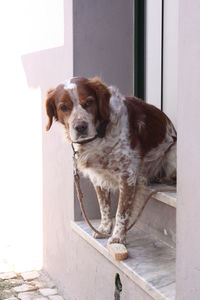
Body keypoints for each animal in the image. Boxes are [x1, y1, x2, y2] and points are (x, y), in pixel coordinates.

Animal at [45, 77, 177, 246]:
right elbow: (104, 206)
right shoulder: (97, 176)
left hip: (173, 153)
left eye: (89, 102)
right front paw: (104, 229)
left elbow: (121, 211)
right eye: (64, 107)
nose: (80, 127)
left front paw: (118, 237)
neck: (101, 134)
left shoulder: (128, 174)